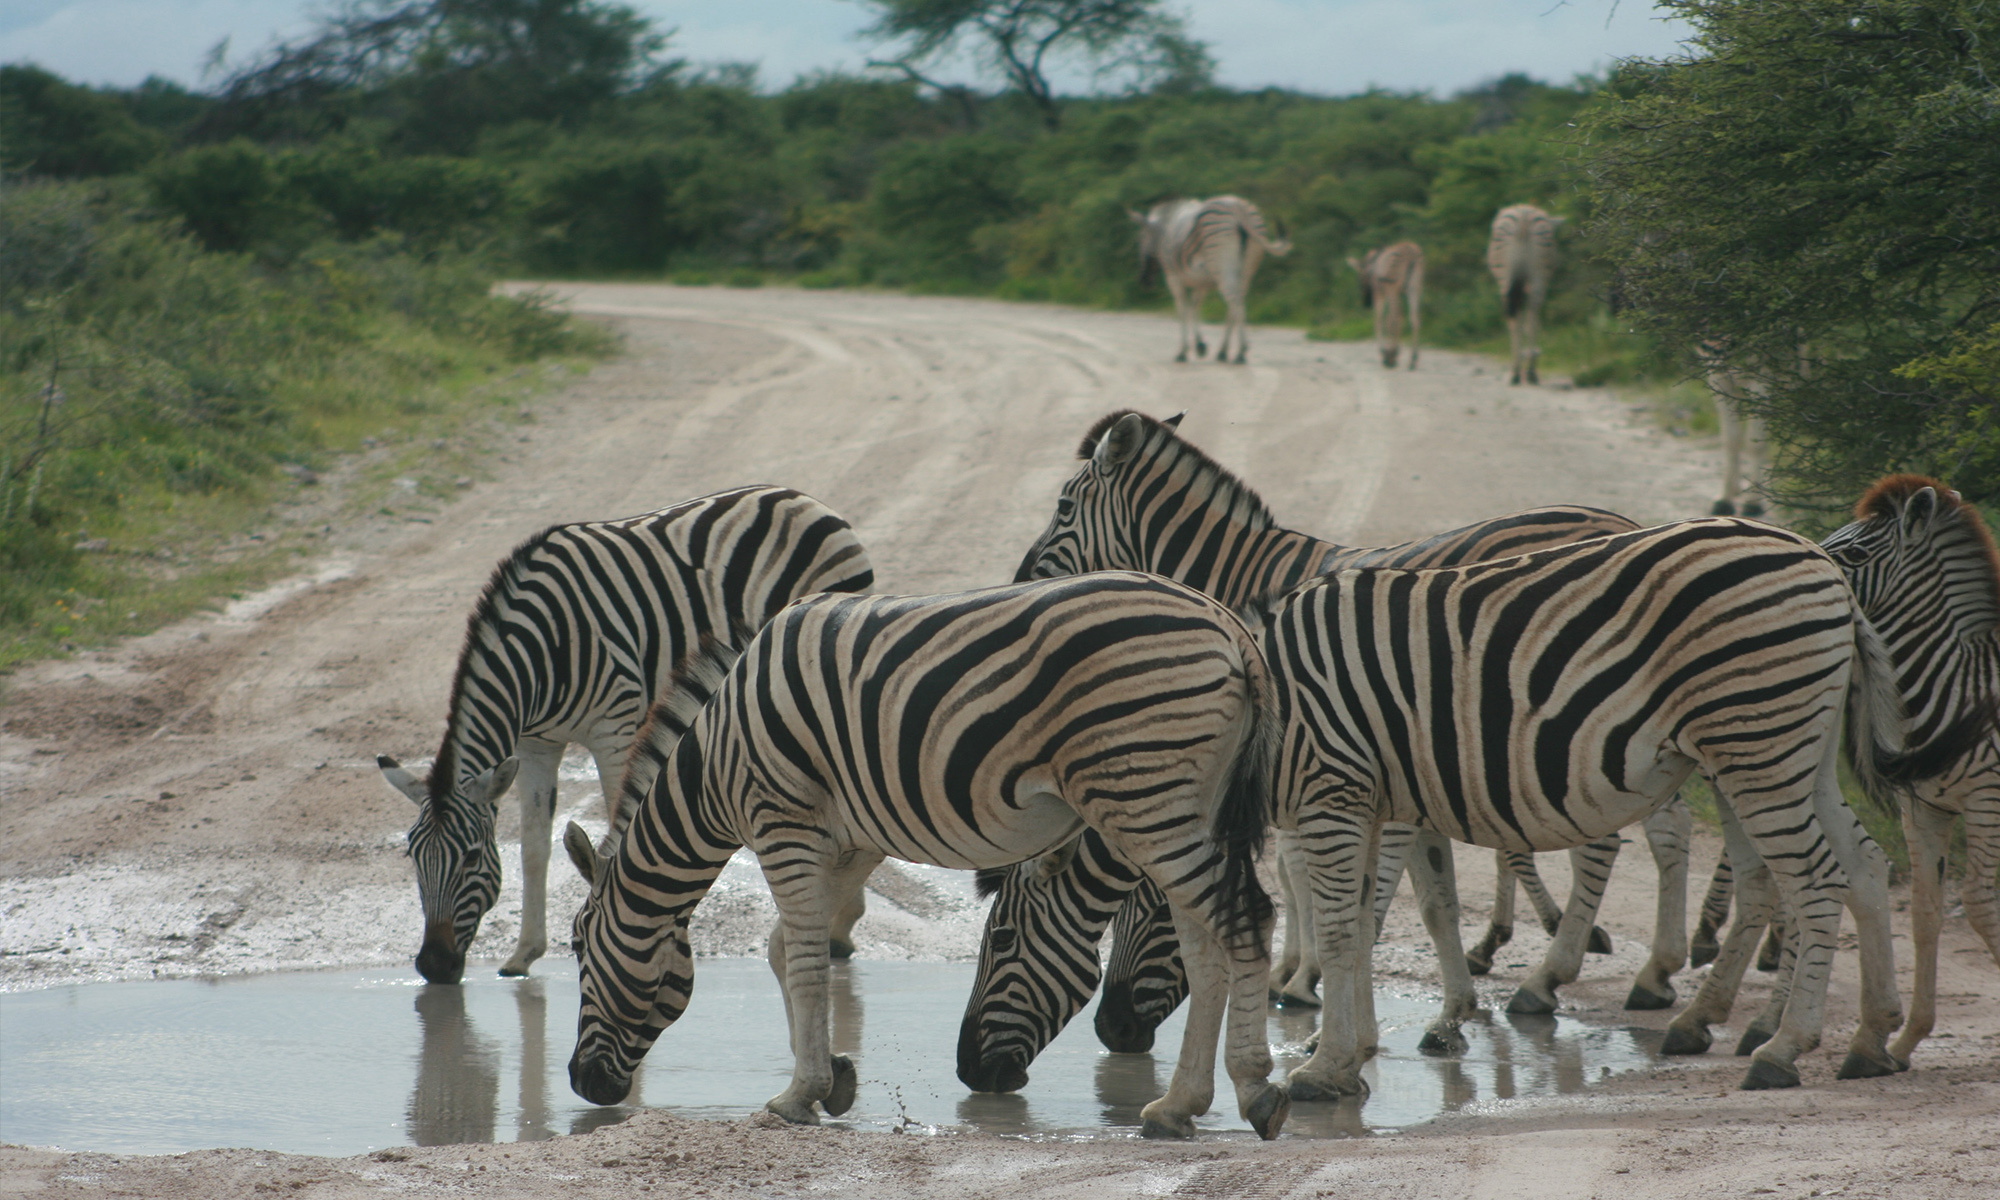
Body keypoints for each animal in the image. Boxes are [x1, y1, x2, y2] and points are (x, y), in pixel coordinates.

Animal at [376, 486, 876, 984]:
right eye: (413, 856)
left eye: (471, 857)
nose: (434, 965)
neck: (542, 649)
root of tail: (799, 497)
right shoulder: (536, 745)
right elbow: (533, 847)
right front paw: (523, 954)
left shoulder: (612, 725)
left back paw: (839, 927)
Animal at [556, 576, 1288, 1136]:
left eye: (577, 947)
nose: (582, 1084)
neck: (714, 762)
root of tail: (1232, 629)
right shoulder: (849, 842)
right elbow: (788, 950)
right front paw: (833, 1076)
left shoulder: (783, 822)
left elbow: (804, 962)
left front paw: (797, 1095)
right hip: (1183, 803)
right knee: (1203, 942)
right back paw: (1176, 1106)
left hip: (1140, 792)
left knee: (1246, 918)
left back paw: (1255, 1092)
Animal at [1128, 195, 1296, 366]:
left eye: (1140, 239)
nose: (1144, 281)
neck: (1165, 229)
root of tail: (1239, 210)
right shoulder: (1200, 282)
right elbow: (1194, 308)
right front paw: (1200, 346)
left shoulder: (1173, 277)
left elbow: (1183, 310)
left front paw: (1183, 351)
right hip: (1246, 270)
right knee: (1235, 304)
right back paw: (1223, 352)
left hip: (1223, 266)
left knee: (1235, 301)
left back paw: (1241, 352)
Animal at [1264, 520, 1952, 1104]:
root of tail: (1825, 564)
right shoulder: (1373, 798)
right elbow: (1367, 918)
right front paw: (1347, 1050)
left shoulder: (1337, 788)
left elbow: (1342, 922)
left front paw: (1321, 1061)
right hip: (1800, 749)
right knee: (1863, 865)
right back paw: (1870, 1039)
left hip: (1755, 741)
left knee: (1813, 882)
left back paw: (1778, 1049)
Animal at [1488, 204, 1560, 384]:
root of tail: (1524, 217)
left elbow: (1516, 323)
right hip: (1538, 277)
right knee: (1533, 320)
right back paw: (1531, 372)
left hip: (1506, 278)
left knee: (1515, 322)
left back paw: (1516, 373)